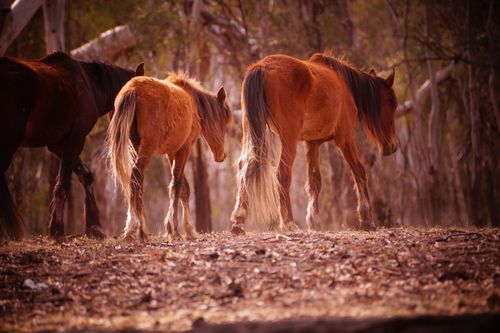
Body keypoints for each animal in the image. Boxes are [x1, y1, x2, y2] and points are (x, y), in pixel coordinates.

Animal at [0, 51, 145, 239]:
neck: (90, 85)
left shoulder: (59, 145)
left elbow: (86, 177)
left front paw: (94, 226)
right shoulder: (75, 140)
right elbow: (63, 185)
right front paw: (57, 229)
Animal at [108, 73, 232, 241]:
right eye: (223, 121)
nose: (222, 155)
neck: (193, 103)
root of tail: (133, 88)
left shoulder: (171, 153)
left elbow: (184, 189)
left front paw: (188, 229)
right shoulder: (184, 149)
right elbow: (177, 185)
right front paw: (175, 230)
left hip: (136, 145)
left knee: (137, 181)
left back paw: (137, 229)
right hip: (148, 147)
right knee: (136, 174)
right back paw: (135, 228)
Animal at [230, 52, 398, 233]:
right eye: (391, 103)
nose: (393, 146)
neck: (344, 84)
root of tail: (263, 66)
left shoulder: (312, 143)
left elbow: (314, 181)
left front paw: (314, 221)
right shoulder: (344, 138)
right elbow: (359, 171)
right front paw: (367, 219)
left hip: (251, 130)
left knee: (245, 165)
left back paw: (239, 220)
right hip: (289, 138)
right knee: (282, 172)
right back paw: (288, 222)